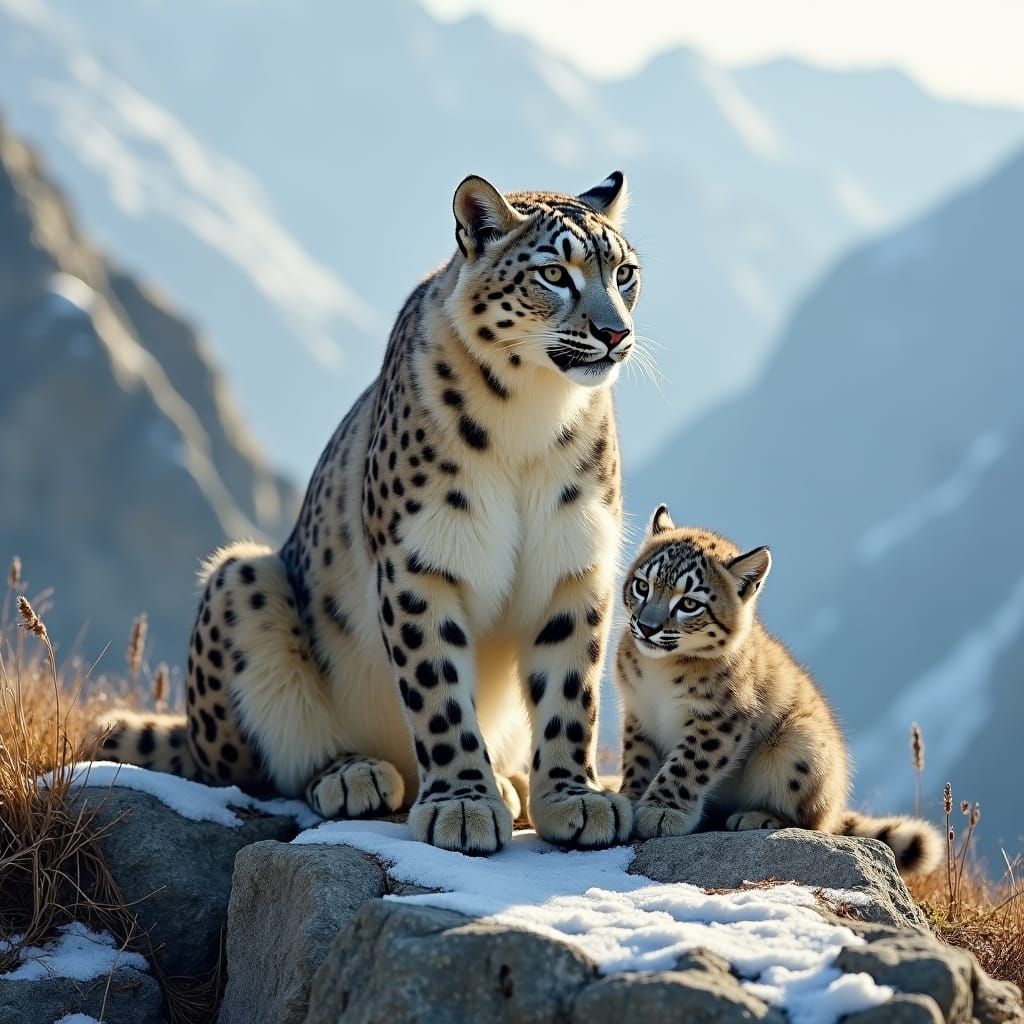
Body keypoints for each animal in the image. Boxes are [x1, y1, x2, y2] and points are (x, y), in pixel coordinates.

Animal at [96, 172, 641, 854]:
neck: (531, 417)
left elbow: (570, 690)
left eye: (625, 273)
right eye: (553, 273)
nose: (615, 333)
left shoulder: (574, 563)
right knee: (257, 769)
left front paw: (574, 798)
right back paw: (355, 775)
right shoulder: (421, 561)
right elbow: (437, 690)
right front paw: (462, 805)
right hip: (240, 580)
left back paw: (509, 780)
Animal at [613, 503, 943, 876]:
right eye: (642, 585)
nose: (647, 627)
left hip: (799, 745)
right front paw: (630, 796)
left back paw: (756, 816)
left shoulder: (719, 717)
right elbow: (637, 758)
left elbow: (687, 763)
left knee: (812, 820)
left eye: (689, 604)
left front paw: (661, 811)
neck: (659, 673)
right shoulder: (637, 712)